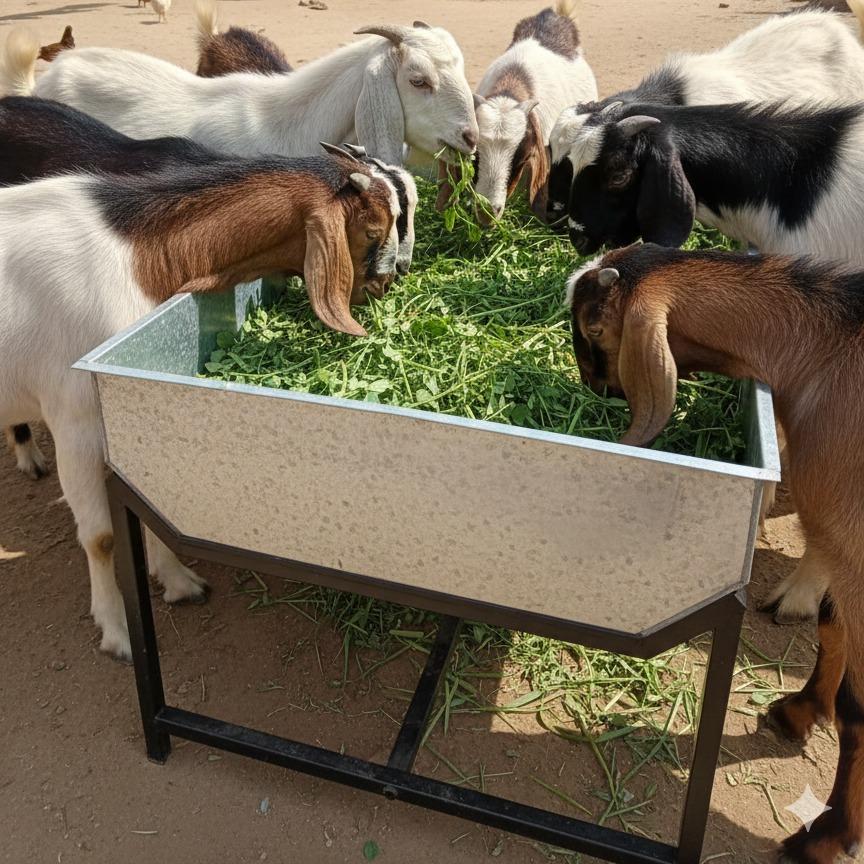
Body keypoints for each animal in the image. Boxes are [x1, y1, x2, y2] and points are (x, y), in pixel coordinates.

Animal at [0, 153, 399, 659]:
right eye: (371, 230)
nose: (386, 285)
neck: (137, 260)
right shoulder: (77, 423)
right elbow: (102, 537)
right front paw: (118, 631)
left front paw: (177, 581)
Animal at [567, 242, 864, 864]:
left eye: (594, 328)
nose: (594, 389)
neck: (825, 353)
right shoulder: (842, 549)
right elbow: (831, 631)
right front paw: (800, 711)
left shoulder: (855, 556)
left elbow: (859, 709)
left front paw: (828, 837)